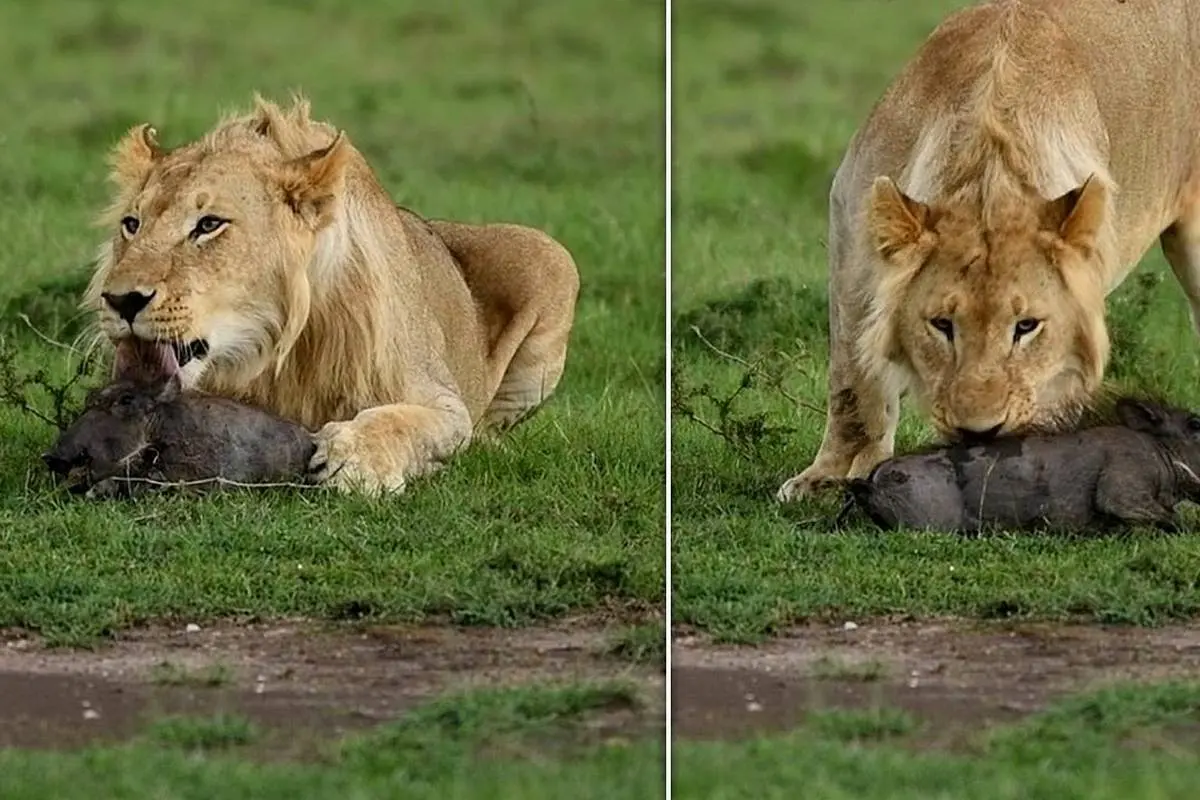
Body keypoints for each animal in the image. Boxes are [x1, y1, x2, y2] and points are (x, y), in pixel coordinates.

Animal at [82, 94, 578, 494]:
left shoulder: (441, 399)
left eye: (209, 224)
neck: (271, 349)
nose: (121, 301)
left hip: (552, 256)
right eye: (132, 224)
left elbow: (411, 423)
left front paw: (353, 459)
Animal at [772, 0, 1200, 501]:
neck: (988, 171)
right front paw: (826, 478)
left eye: (1027, 326)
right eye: (941, 325)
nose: (978, 433)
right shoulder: (851, 234)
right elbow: (853, 376)